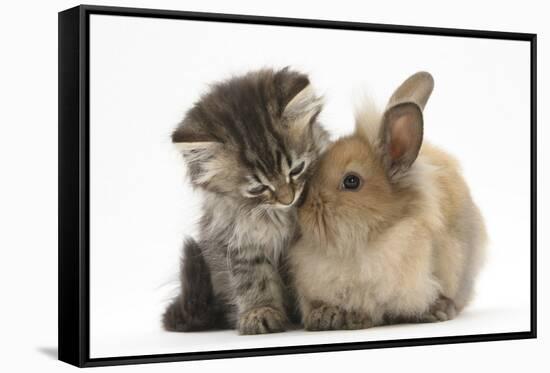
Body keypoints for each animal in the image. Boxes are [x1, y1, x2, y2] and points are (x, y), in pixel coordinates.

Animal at [162, 67, 330, 334]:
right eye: (258, 188)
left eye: (297, 169)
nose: (288, 199)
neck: (280, 216)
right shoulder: (240, 241)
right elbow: (253, 281)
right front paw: (259, 312)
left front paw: (324, 309)